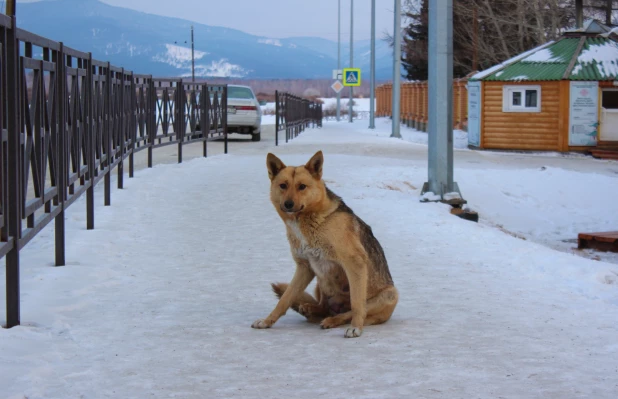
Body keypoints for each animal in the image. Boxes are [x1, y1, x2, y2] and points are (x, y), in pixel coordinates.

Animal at [251, 152, 400, 340]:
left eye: (302, 186)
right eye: (283, 186)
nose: (288, 204)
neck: (311, 221)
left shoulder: (355, 262)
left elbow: (357, 304)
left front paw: (356, 328)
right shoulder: (305, 267)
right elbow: (285, 299)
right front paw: (267, 321)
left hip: (390, 293)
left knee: (348, 313)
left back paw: (332, 320)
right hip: (319, 280)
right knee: (323, 307)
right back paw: (312, 309)